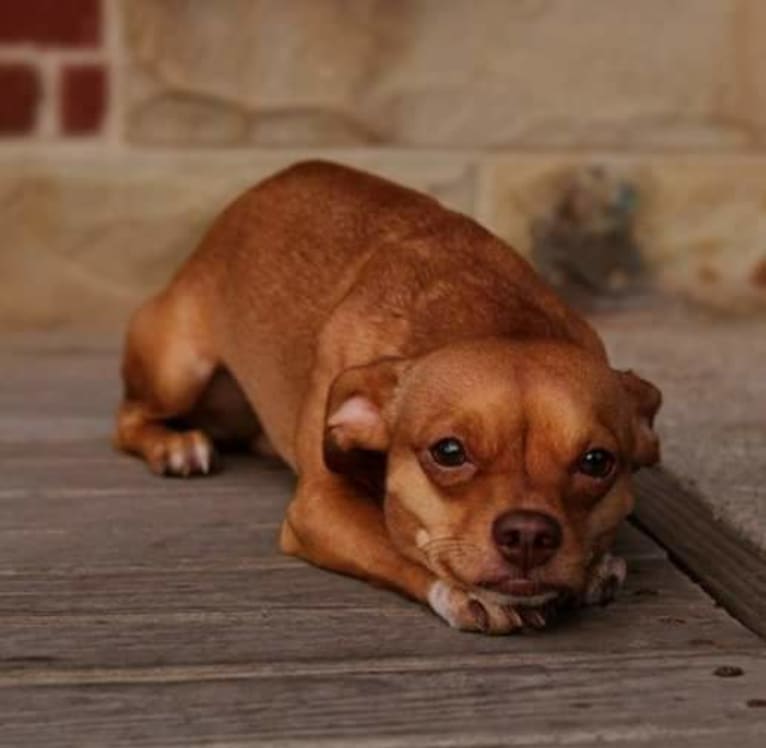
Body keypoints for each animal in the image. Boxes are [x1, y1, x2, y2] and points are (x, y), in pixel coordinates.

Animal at [114, 161, 660, 636]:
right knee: (128, 420)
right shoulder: (319, 505)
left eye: (597, 462)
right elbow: (397, 544)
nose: (529, 533)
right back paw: (175, 446)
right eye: (449, 452)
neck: (497, 319)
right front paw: (467, 593)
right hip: (178, 370)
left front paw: (596, 567)